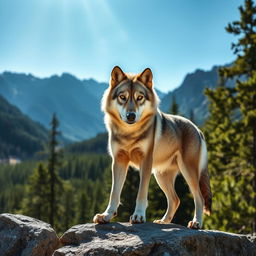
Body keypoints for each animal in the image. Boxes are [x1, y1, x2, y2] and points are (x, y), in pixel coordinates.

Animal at [93, 65, 211, 228]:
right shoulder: (118, 161)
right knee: (175, 199)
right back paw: (163, 221)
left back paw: (196, 222)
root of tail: (197, 129)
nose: (131, 116)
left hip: (188, 171)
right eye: (122, 97)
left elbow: (141, 192)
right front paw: (106, 215)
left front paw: (138, 216)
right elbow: (114, 193)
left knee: (199, 197)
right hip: (161, 175)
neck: (129, 134)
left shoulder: (146, 161)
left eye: (139, 97)